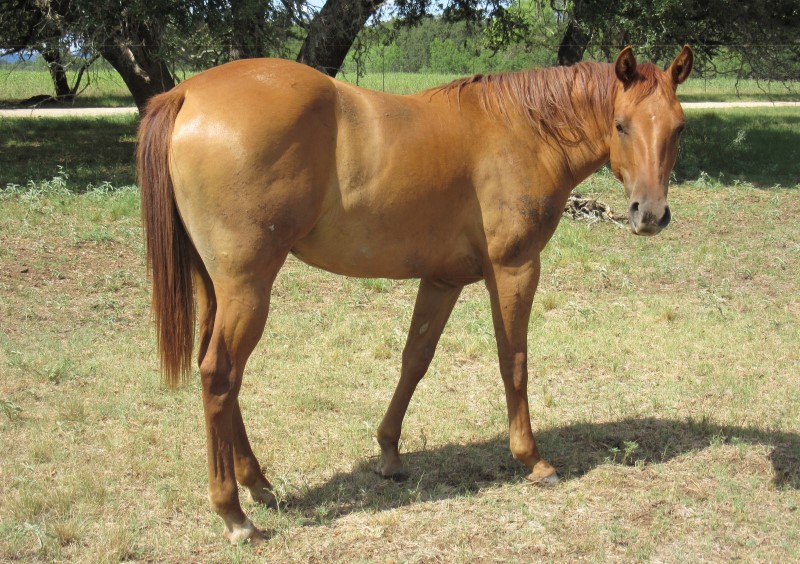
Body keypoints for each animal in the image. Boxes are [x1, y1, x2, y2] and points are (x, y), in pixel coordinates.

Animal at [138, 45, 692, 540]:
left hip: (218, 289)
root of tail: (187, 92)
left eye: (678, 127)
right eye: (621, 124)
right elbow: (513, 361)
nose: (650, 214)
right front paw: (533, 460)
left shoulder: (442, 279)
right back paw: (234, 515)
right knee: (219, 376)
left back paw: (259, 484)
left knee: (219, 376)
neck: (521, 131)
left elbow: (415, 360)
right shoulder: (514, 269)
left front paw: (389, 453)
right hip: (248, 288)